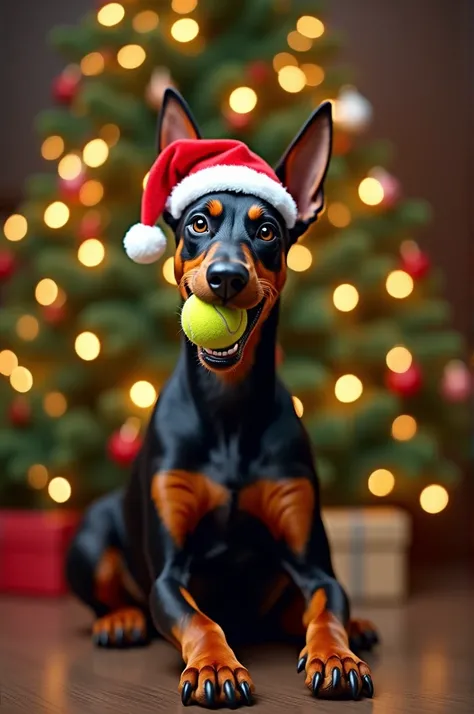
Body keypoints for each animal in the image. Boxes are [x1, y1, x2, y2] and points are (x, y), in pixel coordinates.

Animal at [66, 89, 378, 708]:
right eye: (198, 222)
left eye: (268, 232)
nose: (227, 277)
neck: (228, 407)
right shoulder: (169, 571)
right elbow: (197, 618)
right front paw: (216, 666)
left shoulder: (312, 561)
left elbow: (326, 606)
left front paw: (335, 654)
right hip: (88, 535)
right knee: (111, 594)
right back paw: (119, 620)